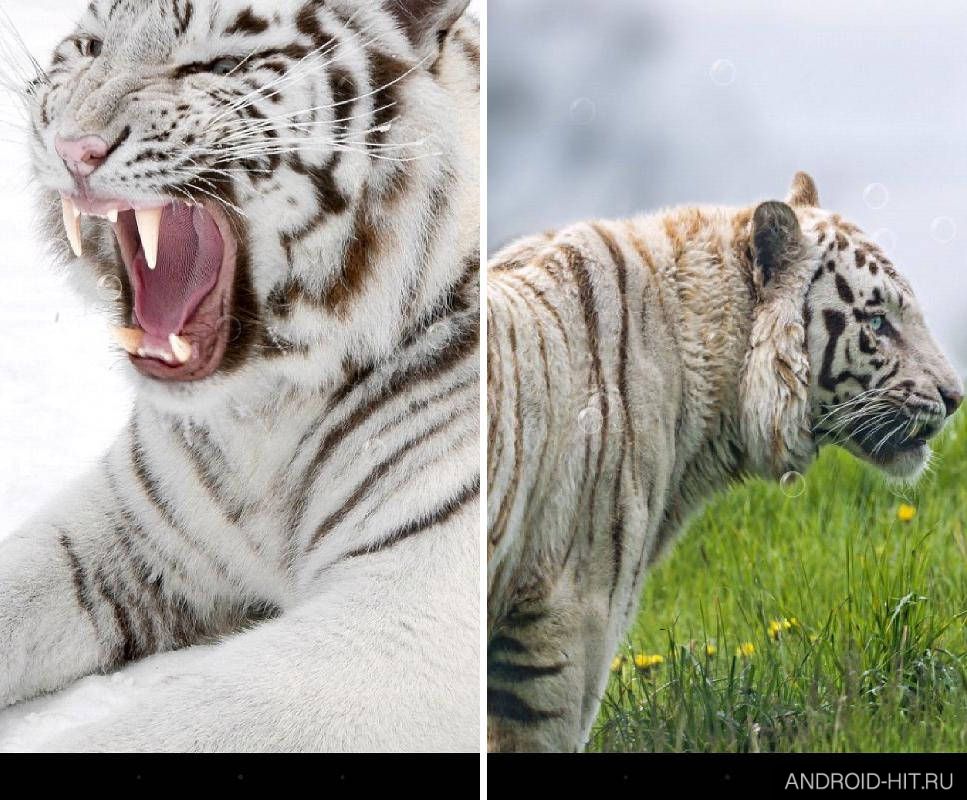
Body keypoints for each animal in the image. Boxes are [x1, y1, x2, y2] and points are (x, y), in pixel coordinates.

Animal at [0, 0, 479, 753]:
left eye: (218, 67)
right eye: (89, 48)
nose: (75, 149)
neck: (262, 415)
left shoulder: (411, 610)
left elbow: (162, 727)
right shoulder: (130, 525)